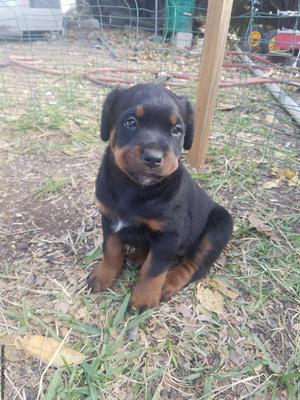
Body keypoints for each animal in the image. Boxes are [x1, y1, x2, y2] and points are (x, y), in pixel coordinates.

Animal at [88, 83, 233, 310]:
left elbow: (154, 270)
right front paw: (103, 276)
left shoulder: (169, 234)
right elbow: (111, 249)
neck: (134, 187)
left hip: (220, 226)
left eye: (177, 130)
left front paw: (144, 300)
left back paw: (167, 283)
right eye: (131, 122)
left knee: (195, 265)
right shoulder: (109, 217)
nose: (153, 158)